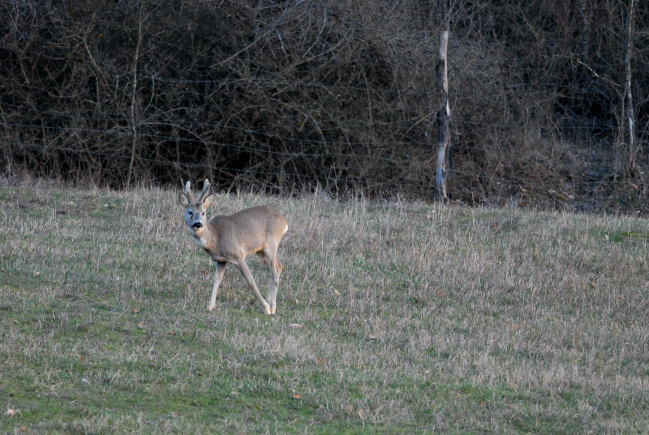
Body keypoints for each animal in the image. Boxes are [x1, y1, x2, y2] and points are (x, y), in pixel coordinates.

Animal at [178, 179, 288, 316]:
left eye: (203, 212)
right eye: (190, 212)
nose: (198, 224)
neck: (215, 237)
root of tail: (284, 221)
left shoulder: (238, 255)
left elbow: (251, 281)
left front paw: (266, 308)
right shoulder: (221, 260)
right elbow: (216, 280)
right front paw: (210, 306)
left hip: (272, 243)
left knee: (274, 271)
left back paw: (272, 307)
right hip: (260, 250)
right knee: (279, 266)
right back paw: (270, 301)